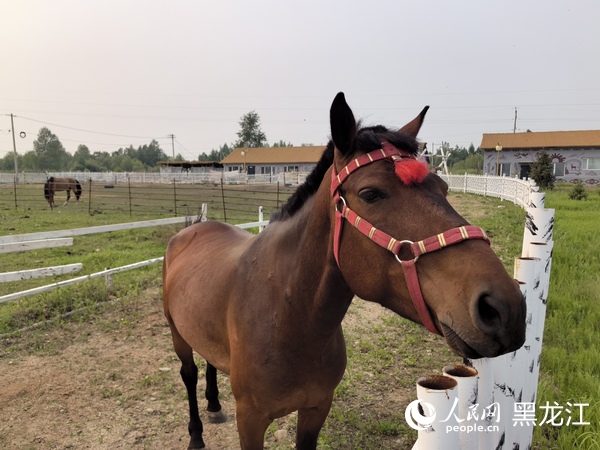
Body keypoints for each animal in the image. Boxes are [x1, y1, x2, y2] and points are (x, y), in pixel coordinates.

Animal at [163, 92, 524, 450]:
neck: (286, 315)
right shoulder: (250, 420)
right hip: (178, 335)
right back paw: (196, 433)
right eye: (371, 194)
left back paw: (214, 404)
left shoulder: (317, 408)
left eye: (443, 187)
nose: (505, 307)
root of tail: (192, 228)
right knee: (189, 374)